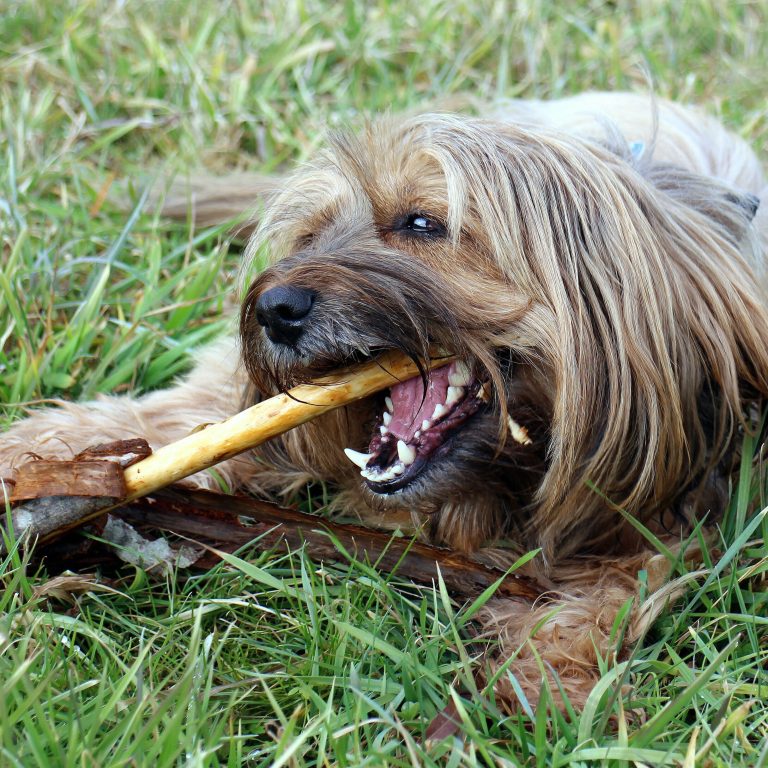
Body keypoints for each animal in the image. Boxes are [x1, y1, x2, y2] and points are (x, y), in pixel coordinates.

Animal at [1, 90, 768, 708]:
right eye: (311, 235)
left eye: (423, 223)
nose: (274, 309)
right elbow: (186, 414)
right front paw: (44, 458)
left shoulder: (681, 504)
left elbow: (618, 583)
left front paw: (546, 682)